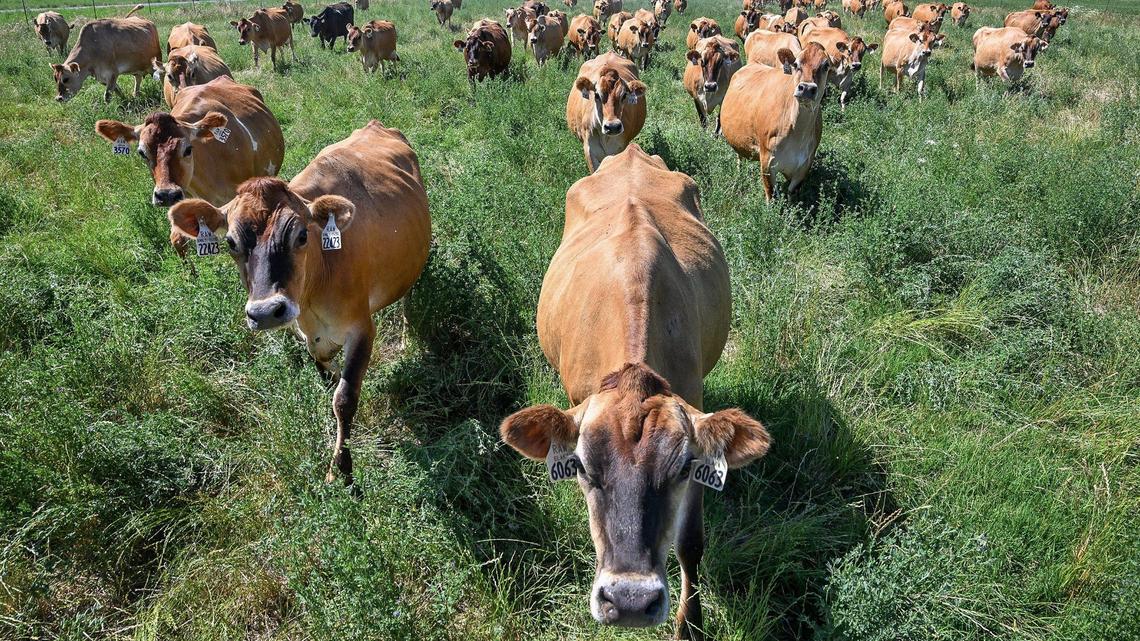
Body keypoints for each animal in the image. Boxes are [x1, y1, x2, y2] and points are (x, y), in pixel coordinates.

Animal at [166, 120, 431, 489]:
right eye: (230, 242)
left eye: (302, 235)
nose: (266, 312)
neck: (313, 293)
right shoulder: (308, 335)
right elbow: (326, 378)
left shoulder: (362, 328)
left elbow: (344, 398)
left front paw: (342, 470)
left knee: (408, 295)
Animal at [721, 42, 830, 201]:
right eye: (796, 64)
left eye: (826, 65)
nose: (806, 88)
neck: (797, 133)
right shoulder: (767, 161)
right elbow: (771, 195)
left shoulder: (804, 166)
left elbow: (792, 196)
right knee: (739, 157)